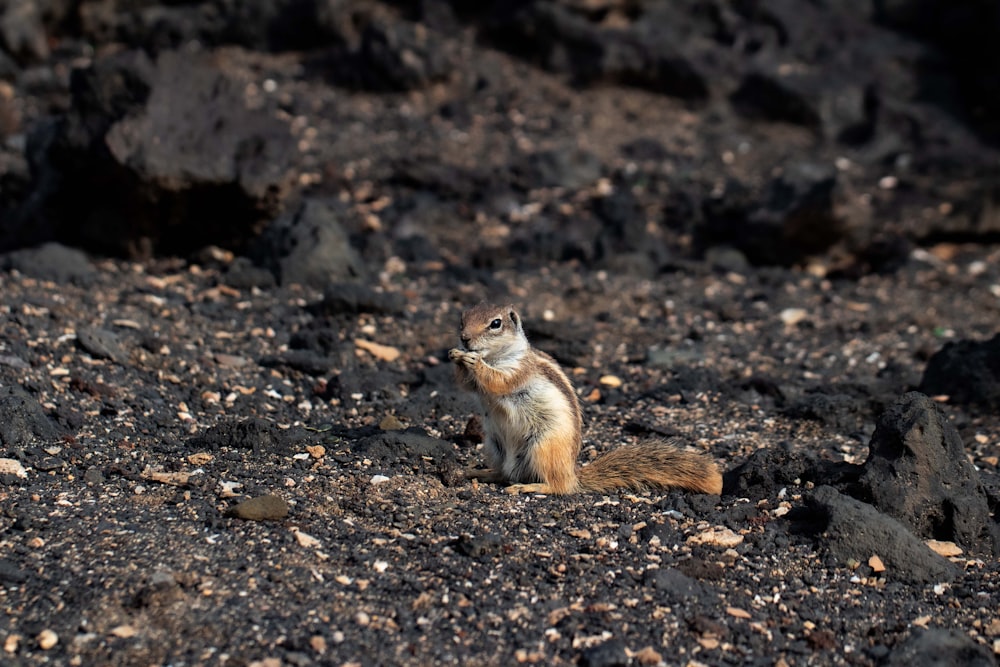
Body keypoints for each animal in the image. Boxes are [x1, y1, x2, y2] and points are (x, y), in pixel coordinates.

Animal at [450, 302, 724, 496]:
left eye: (495, 324)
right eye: (462, 318)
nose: (464, 339)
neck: (496, 356)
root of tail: (573, 474)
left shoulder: (519, 370)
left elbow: (498, 381)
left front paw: (473, 361)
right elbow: (466, 385)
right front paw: (456, 356)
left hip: (543, 447)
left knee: (558, 487)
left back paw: (529, 487)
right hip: (493, 445)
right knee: (505, 473)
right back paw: (478, 472)